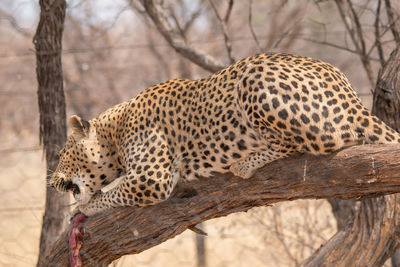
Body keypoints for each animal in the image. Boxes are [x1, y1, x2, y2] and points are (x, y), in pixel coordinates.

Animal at [49, 53, 400, 217]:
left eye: (63, 154)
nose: (51, 182)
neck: (115, 131)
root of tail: (350, 94)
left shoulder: (152, 177)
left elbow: (112, 192)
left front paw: (84, 208)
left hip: (253, 78)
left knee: (321, 140)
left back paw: (244, 163)